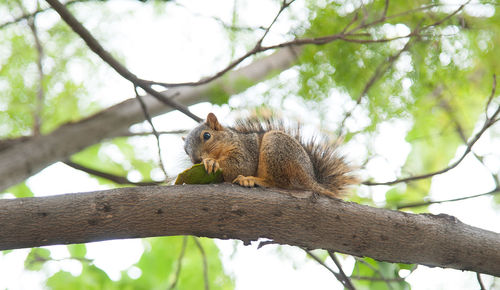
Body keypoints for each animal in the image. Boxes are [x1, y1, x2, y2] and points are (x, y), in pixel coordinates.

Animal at [182, 112, 358, 198]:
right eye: (185, 150)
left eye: (207, 136)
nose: (196, 160)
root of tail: (312, 179)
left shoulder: (246, 150)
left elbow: (241, 165)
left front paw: (212, 162)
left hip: (275, 147)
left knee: (279, 183)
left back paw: (251, 180)